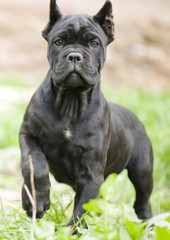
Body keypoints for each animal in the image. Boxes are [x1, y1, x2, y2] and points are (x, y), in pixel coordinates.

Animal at [19, 0, 153, 226]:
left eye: (94, 43)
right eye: (58, 42)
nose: (74, 55)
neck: (70, 102)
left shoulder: (91, 175)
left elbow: (80, 213)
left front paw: (69, 231)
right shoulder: (28, 135)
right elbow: (35, 165)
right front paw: (36, 200)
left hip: (142, 171)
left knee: (142, 202)